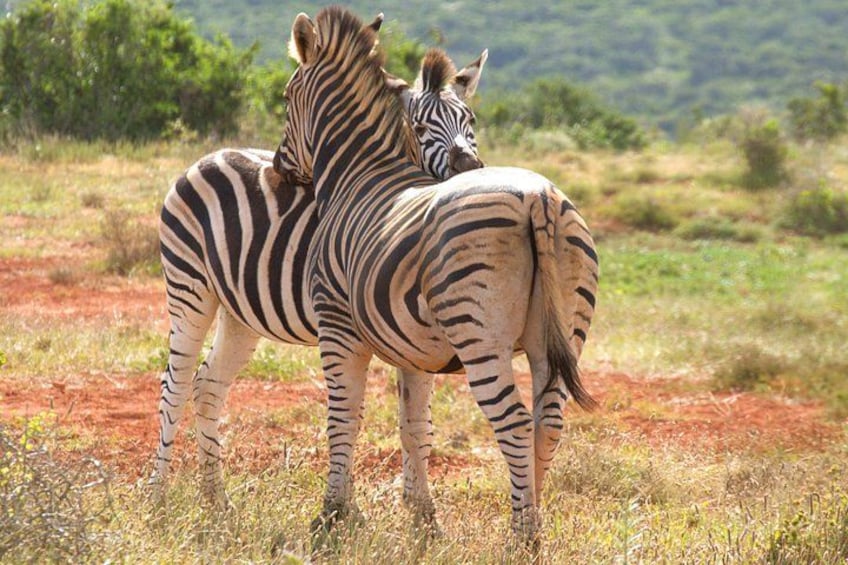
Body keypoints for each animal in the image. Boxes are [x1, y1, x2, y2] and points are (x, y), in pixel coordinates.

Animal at [150, 32, 488, 509]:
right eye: (419, 128)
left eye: (471, 119)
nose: (470, 169)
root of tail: (207, 157)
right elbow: (356, 414)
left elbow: (413, 425)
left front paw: (415, 505)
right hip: (189, 287)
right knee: (175, 385)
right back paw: (158, 495)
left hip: (239, 311)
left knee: (208, 385)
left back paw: (215, 499)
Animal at [274, 7, 598, 545]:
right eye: (423, 124)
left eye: (284, 98)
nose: (281, 168)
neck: (359, 174)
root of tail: (537, 198)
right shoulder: (413, 349)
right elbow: (413, 427)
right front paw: (422, 519)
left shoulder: (337, 326)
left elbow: (344, 417)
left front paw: (333, 515)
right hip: (560, 332)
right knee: (548, 422)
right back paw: (534, 522)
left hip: (480, 334)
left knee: (514, 422)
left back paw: (520, 536)